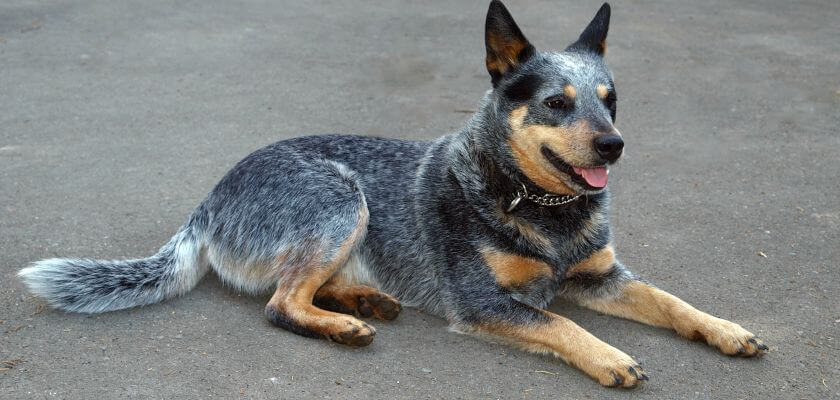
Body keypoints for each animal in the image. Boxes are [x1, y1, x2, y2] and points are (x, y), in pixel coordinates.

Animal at [19, 0, 768, 388]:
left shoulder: (603, 277)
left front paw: (725, 329)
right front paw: (610, 357)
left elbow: (671, 301)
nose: (614, 145)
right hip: (340, 198)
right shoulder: (483, 301)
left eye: (610, 101)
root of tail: (207, 201)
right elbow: (561, 324)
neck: (543, 209)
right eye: (558, 102)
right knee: (279, 304)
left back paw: (362, 299)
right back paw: (345, 322)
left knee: (294, 287)